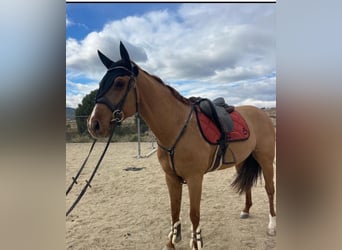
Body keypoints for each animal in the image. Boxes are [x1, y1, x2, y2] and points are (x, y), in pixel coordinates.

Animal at [87, 42, 276, 249]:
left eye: (119, 83)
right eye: (100, 84)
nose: (94, 124)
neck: (177, 128)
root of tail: (262, 114)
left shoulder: (195, 179)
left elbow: (194, 214)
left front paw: (196, 242)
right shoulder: (171, 178)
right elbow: (174, 209)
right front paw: (171, 241)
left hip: (266, 160)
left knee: (270, 189)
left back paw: (272, 226)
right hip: (242, 161)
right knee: (248, 184)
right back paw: (246, 210)